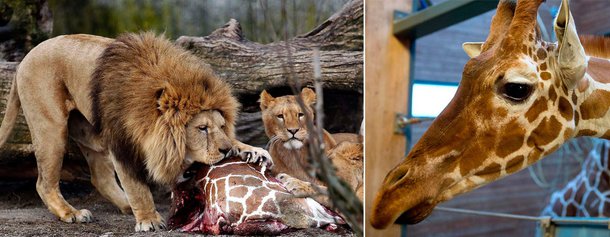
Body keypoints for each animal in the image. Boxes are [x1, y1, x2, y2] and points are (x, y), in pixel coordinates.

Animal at [0, 32, 270, 231]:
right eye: (202, 128)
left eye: (222, 126)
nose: (225, 150)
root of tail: (24, 60)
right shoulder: (122, 144)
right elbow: (137, 186)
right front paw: (149, 220)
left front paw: (251, 151)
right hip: (52, 128)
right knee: (44, 183)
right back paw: (71, 213)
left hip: (89, 131)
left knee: (99, 177)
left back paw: (125, 206)